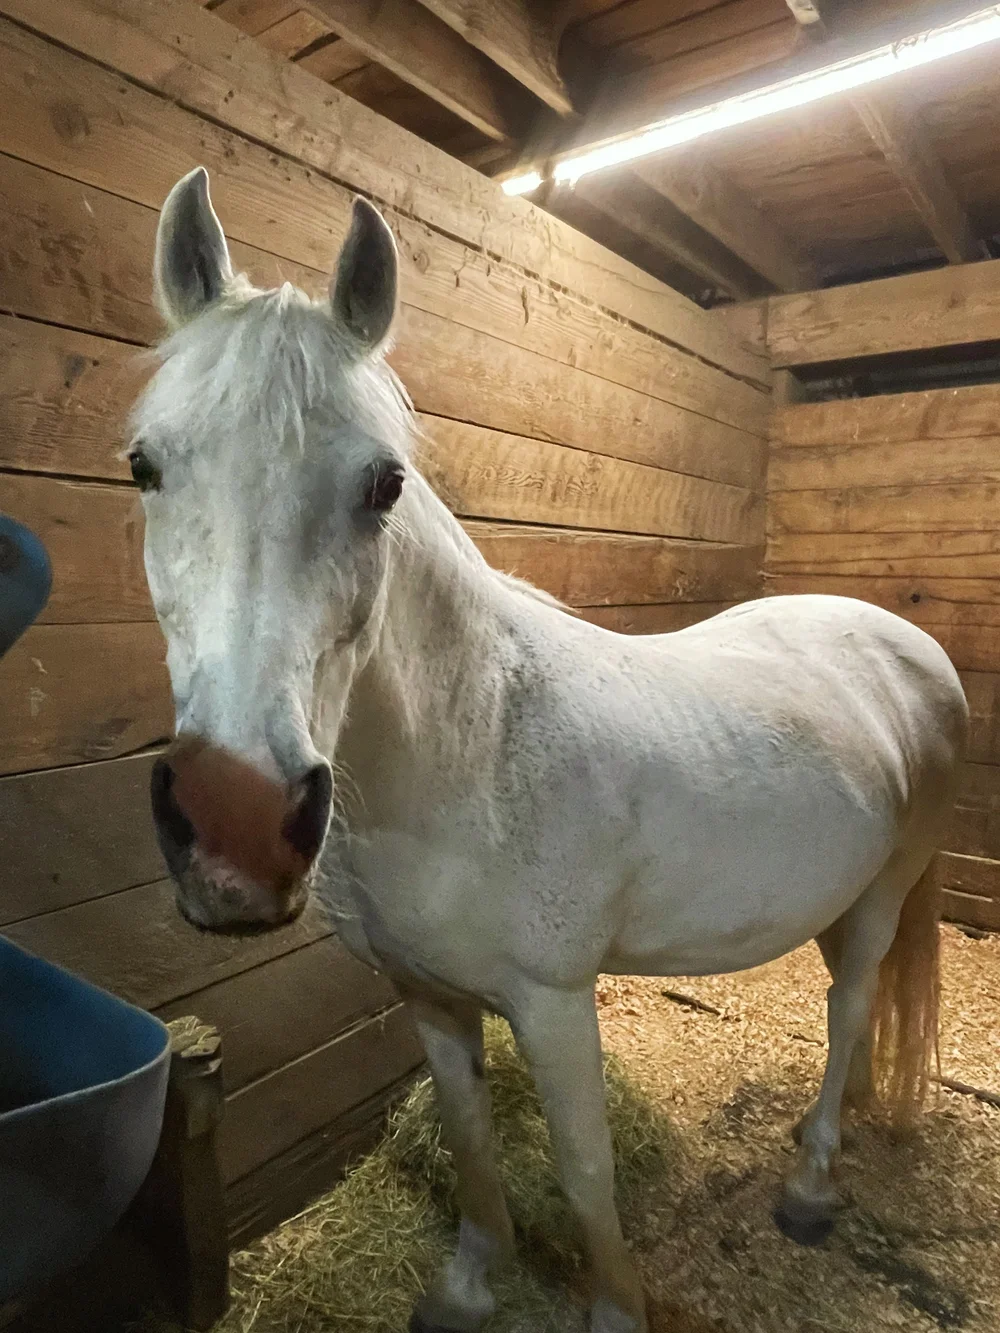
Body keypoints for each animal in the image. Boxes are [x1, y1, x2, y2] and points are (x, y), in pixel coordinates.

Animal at [130, 166, 968, 1333]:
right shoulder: (428, 997)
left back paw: (809, 1186)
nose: (235, 827)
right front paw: (470, 1281)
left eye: (384, 484)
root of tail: (903, 639)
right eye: (144, 466)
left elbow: (585, 1173)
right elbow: (472, 1141)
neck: (471, 750)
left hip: (889, 886)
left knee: (850, 1010)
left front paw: (612, 1306)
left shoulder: (557, 1002)